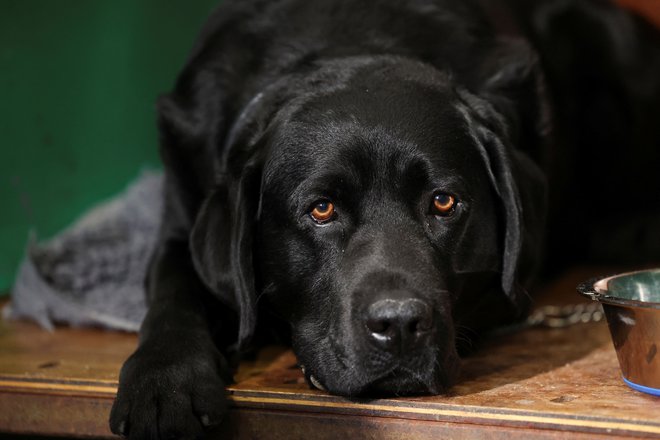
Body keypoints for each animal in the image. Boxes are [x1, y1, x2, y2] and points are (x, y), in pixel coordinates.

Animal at [109, 1, 660, 438]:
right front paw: (163, 384)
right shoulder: (181, 224)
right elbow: (171, 292)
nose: (398, 325)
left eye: (443, 202)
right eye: (321, 209)